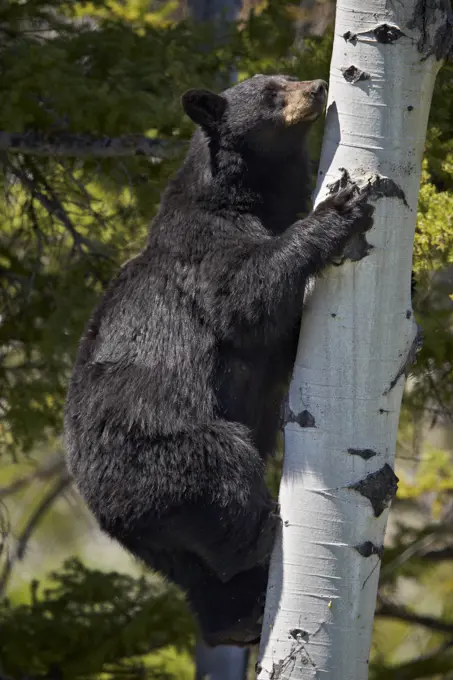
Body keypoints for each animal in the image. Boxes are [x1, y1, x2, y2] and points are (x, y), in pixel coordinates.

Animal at [64, 74, 374, 648]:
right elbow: (247, 293)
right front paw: (340, 207)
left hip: (163, 546)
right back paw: (261, 533)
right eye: (271, 91)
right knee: (223, 469)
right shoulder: (205, 245)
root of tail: (104, 511)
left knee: (201, 575)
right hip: (160, 451)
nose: (317, 86)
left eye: (285, 75)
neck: (242, 195)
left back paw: (237, 617)